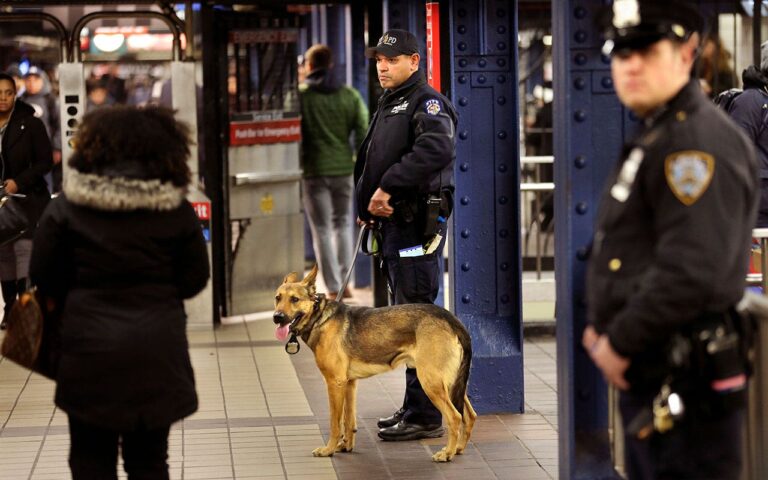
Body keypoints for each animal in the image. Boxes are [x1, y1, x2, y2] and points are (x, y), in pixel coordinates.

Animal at [270, 266, 474, 462]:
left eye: (295, 299)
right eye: (277, 298)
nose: (277, 317)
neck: (319, 317)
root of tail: (451, 318)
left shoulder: (335, 383)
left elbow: (335, 423)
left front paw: (328, 450)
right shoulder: (348, 384)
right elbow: (349, 420)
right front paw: (345, 446)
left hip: (431, 382)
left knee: (455, 417)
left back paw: (447, 453)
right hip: (450, 383)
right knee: (469, 415)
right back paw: (458, 448)